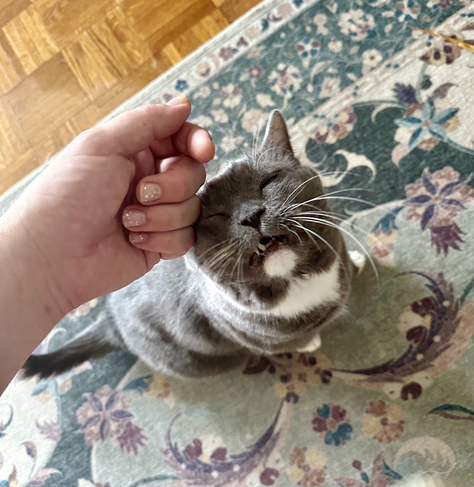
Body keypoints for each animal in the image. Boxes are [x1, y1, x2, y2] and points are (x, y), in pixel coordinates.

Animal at [22, 111, 362, 382]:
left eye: (269, 181)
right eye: (215, 216)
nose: (251, 216)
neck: (296, 279)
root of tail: (111, 319)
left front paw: (357, 260)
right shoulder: (263, 338)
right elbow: (294, 342)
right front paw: (311, 342)